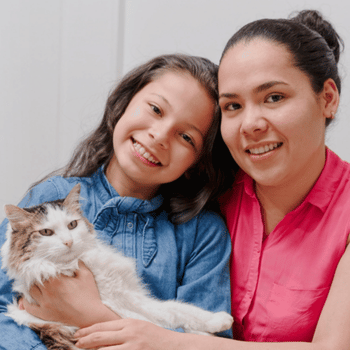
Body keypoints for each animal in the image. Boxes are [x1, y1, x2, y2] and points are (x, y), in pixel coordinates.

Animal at [2, 185, 235, 348]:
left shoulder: (134, 295)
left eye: (72, 225)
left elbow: (180, 309)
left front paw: (216, 323)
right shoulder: (120, 304)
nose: (68, 242)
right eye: (46, 232)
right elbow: (167, 318)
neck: (82, 260)